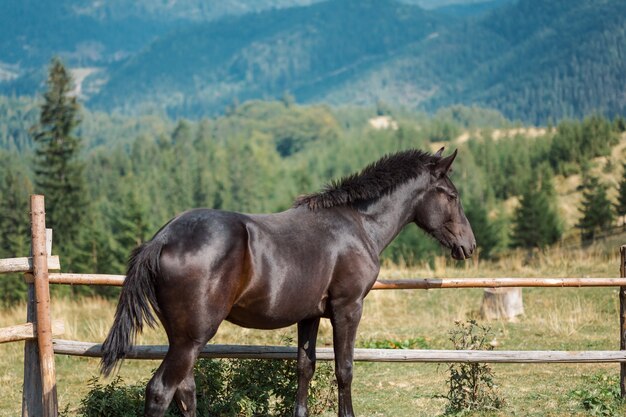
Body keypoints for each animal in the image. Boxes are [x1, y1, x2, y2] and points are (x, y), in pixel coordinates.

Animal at [101, 147, 472, 416]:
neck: (358, 224)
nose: (469, 245)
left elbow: (305, 368)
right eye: (451, 196)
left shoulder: (309, 315)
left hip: (182, 339)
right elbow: (344, 369)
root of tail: (163, 238)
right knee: (161, 390)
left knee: (185, 390)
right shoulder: (348, 308)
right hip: (192, 338)